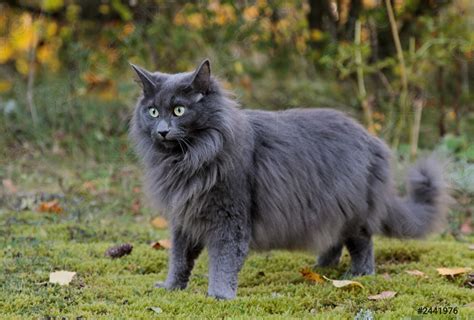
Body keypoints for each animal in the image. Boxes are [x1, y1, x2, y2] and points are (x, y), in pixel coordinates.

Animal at [129, 59, 448, 300]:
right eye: (153, 111)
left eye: (179, 110)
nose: (162, 130)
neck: (188, 160)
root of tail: (372, 140)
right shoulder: (184, 217)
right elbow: (179, 258)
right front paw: (171, 288)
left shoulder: (229, 217)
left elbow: (223, 260)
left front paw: (219, 296)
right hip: (327, 208)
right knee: (333, 240)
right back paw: (321, 268)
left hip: (353, 208)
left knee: (362, 243)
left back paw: (357, 274)